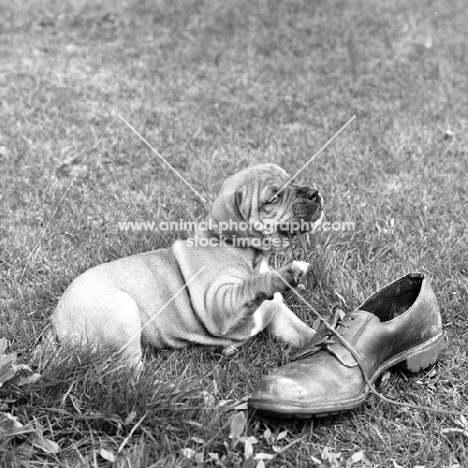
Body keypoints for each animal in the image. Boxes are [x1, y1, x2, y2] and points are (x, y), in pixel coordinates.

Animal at [50, 164, 322, 366]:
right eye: (273, 198)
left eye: (292, 180)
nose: (315, 193)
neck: (249, 255)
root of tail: (56, 321)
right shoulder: (218, 306)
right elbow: (252, 285)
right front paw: (286, 273)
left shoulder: (276, 313)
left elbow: (306, 332)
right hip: (123, 314)